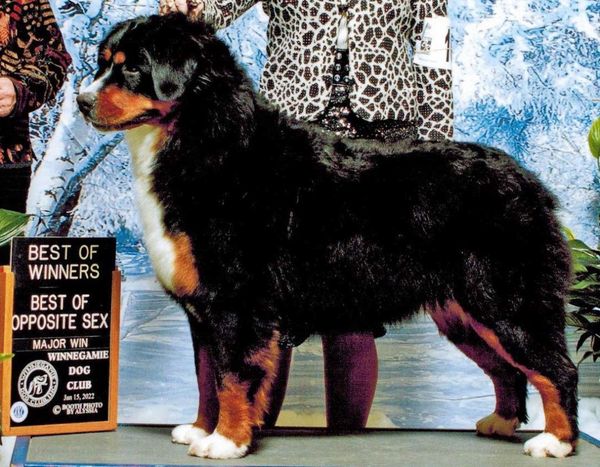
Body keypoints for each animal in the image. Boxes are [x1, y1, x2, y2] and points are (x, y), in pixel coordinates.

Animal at [77, 14, 578, 460]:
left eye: (132, 67)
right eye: (104, 63)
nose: (81, 101)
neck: (207, 142)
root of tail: (532, 184)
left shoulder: (236, 302)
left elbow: (232, 376)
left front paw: (225, 441)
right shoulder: (204, 308)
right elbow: (206, 377)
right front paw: (201, 428)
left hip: (507, 304)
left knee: (558, 370)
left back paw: (556, 441)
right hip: (465, 316)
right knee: (507, 372)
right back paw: (501, 422)